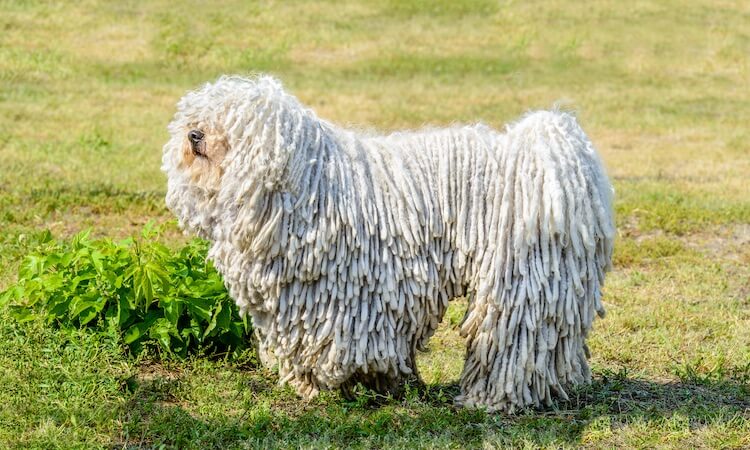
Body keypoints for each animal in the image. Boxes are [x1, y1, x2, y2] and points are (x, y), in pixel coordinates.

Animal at [162, 75, 612, 414]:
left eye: (232, 123)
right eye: (197, 116)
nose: (194, 134)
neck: (304, 185)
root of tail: (553, 155)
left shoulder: (347, 296)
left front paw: (342, 385)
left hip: (517, 279)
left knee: (512, 339)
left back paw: (492, 399)